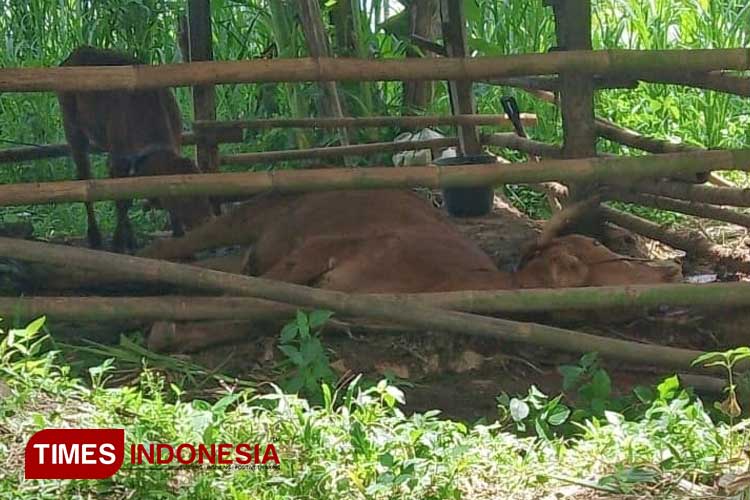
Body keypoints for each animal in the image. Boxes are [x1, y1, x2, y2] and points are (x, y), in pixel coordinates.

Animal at [57, 46, 212, 250]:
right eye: (184, 198)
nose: (206, 221)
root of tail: (75, 54)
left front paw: (178, 234)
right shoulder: (119, 159)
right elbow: (123, 199)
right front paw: (117, 243)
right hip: (74, 130)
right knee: (84, 175)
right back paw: (96, 237)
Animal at [142, 189, 688, 354]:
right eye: (607, 253)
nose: (673, 271)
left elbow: (251, 312)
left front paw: (174, 332)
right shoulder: (322, 252)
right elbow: (245, 296)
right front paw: (165, 326)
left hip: (250, 245)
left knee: (209, 265)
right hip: (256, 213)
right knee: (176, 244)